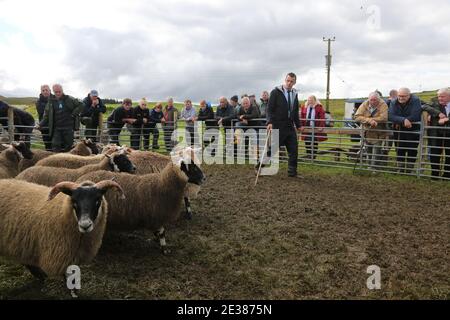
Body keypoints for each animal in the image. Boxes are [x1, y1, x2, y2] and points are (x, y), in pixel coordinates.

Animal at [76, 159, 205, 254]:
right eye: (193, 168)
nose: (204, 178)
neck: (162, 184)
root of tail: (80, 179)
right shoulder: (156, 214)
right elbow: (162, 232)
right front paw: (164, 248)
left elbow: (159, 231)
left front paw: (158, 240)